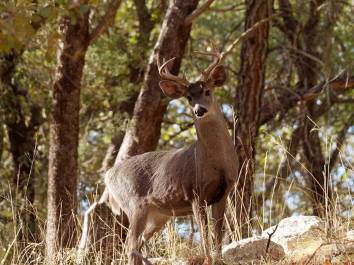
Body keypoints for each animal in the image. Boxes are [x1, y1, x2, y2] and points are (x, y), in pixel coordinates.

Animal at [78, 51, 238, 264]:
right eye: (188, 97)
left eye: (207, 91)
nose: (199, 110)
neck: (215, 162)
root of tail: (109, 174)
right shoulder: (195, 193)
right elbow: (205, 236)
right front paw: (208, 260)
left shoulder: (224, 193)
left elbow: (218, 234)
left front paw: (219, 259)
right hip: (134, 204)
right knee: (130, 245)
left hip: (159, 216)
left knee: (138, 244)